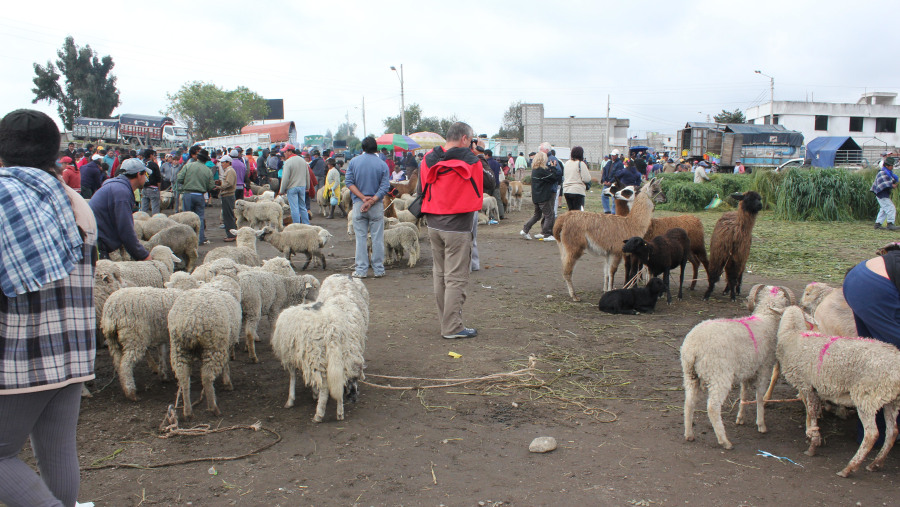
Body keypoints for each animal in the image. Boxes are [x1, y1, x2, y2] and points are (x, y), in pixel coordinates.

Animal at [168, 276, 243, 418]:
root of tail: (191, 319)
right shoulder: (225, 343)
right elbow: (226, 364)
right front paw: (227, 382)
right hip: (214, 346)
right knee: (207, 376)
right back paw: (213, 407)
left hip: (178, 348)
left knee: (183, 377)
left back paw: (188, 411)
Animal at [268, 276, 368, 422]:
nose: (354, 399)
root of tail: (332, 330)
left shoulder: (290, 357)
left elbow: (292, 377)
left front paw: (291, 399)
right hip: (342, 354)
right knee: (339, 380)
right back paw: (340, 413)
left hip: (316, 355)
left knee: (325, 386)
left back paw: (319, 414)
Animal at [684, 284, 796, 450]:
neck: (767, 318)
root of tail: (694, 347)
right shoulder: (764, 367)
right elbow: (759, 395)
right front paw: (761, 424)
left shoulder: (747, 369)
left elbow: (743, 394)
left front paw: (740, 418)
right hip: (718, 374)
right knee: (712, 407)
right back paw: (725, 441)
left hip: (690, 374)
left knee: (689, 402)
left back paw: (689, 434)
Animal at [772, 306, 900, 480]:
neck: (793, 335)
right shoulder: (812, 388)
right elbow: (812, 412)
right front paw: (813, 437)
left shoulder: (807, 385)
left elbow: (811, 413)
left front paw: (812, 445)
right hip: (890, 399)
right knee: (892, 431)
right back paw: (876, 464)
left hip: (867, 396)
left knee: (872, 434)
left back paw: (849, 468)